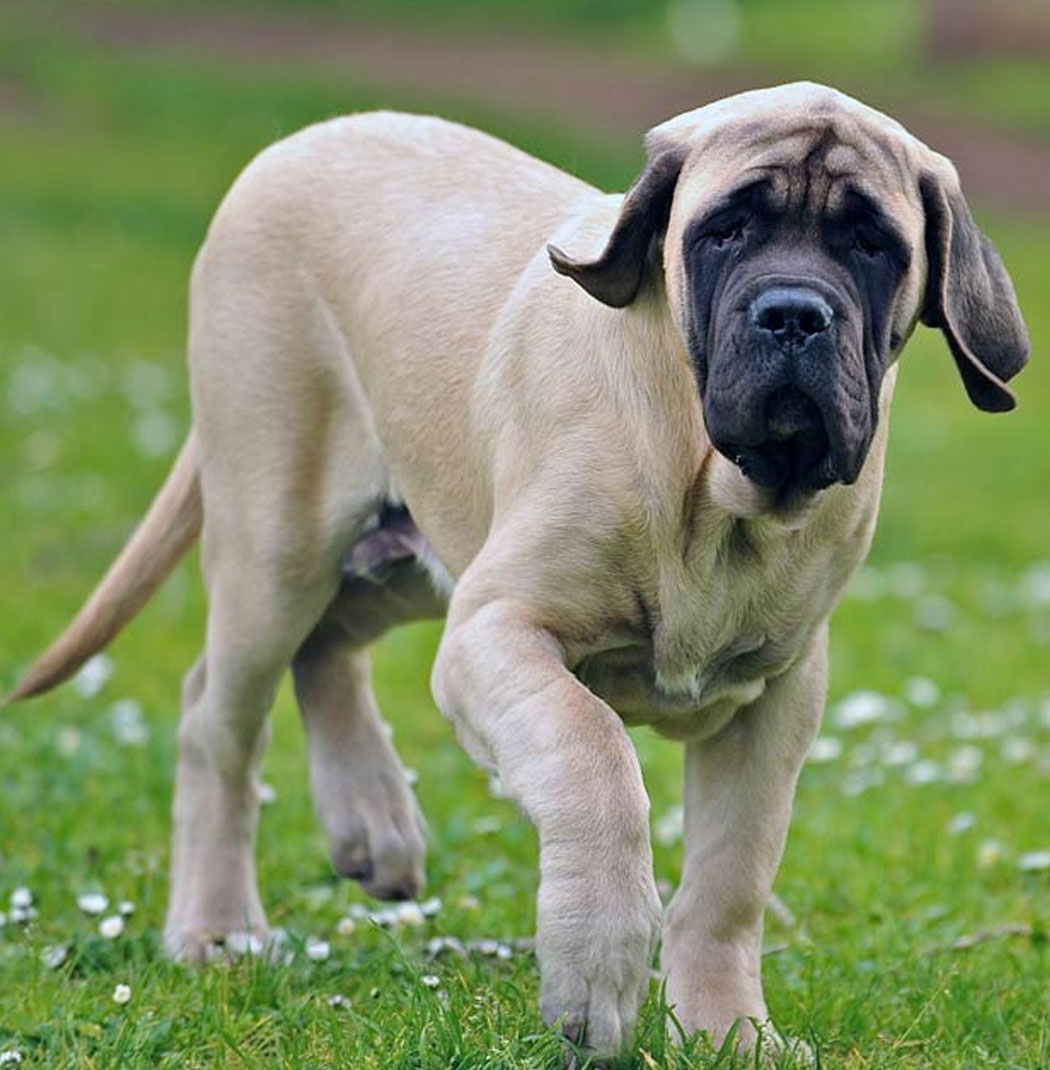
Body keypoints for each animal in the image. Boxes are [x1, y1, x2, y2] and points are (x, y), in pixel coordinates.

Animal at [8, 81, 1023, 1052]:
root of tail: (296, 142)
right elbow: (594, 756)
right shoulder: (499, 631)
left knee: (326, 645)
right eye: (725, 231)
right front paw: (598, 970)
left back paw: (371, 821)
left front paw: (730, 1031)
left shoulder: (778, 695)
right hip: (279, 541)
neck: (714, 493)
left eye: (871, 244)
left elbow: (730, 882)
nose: (793, 316)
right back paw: (218, 927)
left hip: (414, 551)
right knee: (217, 719)